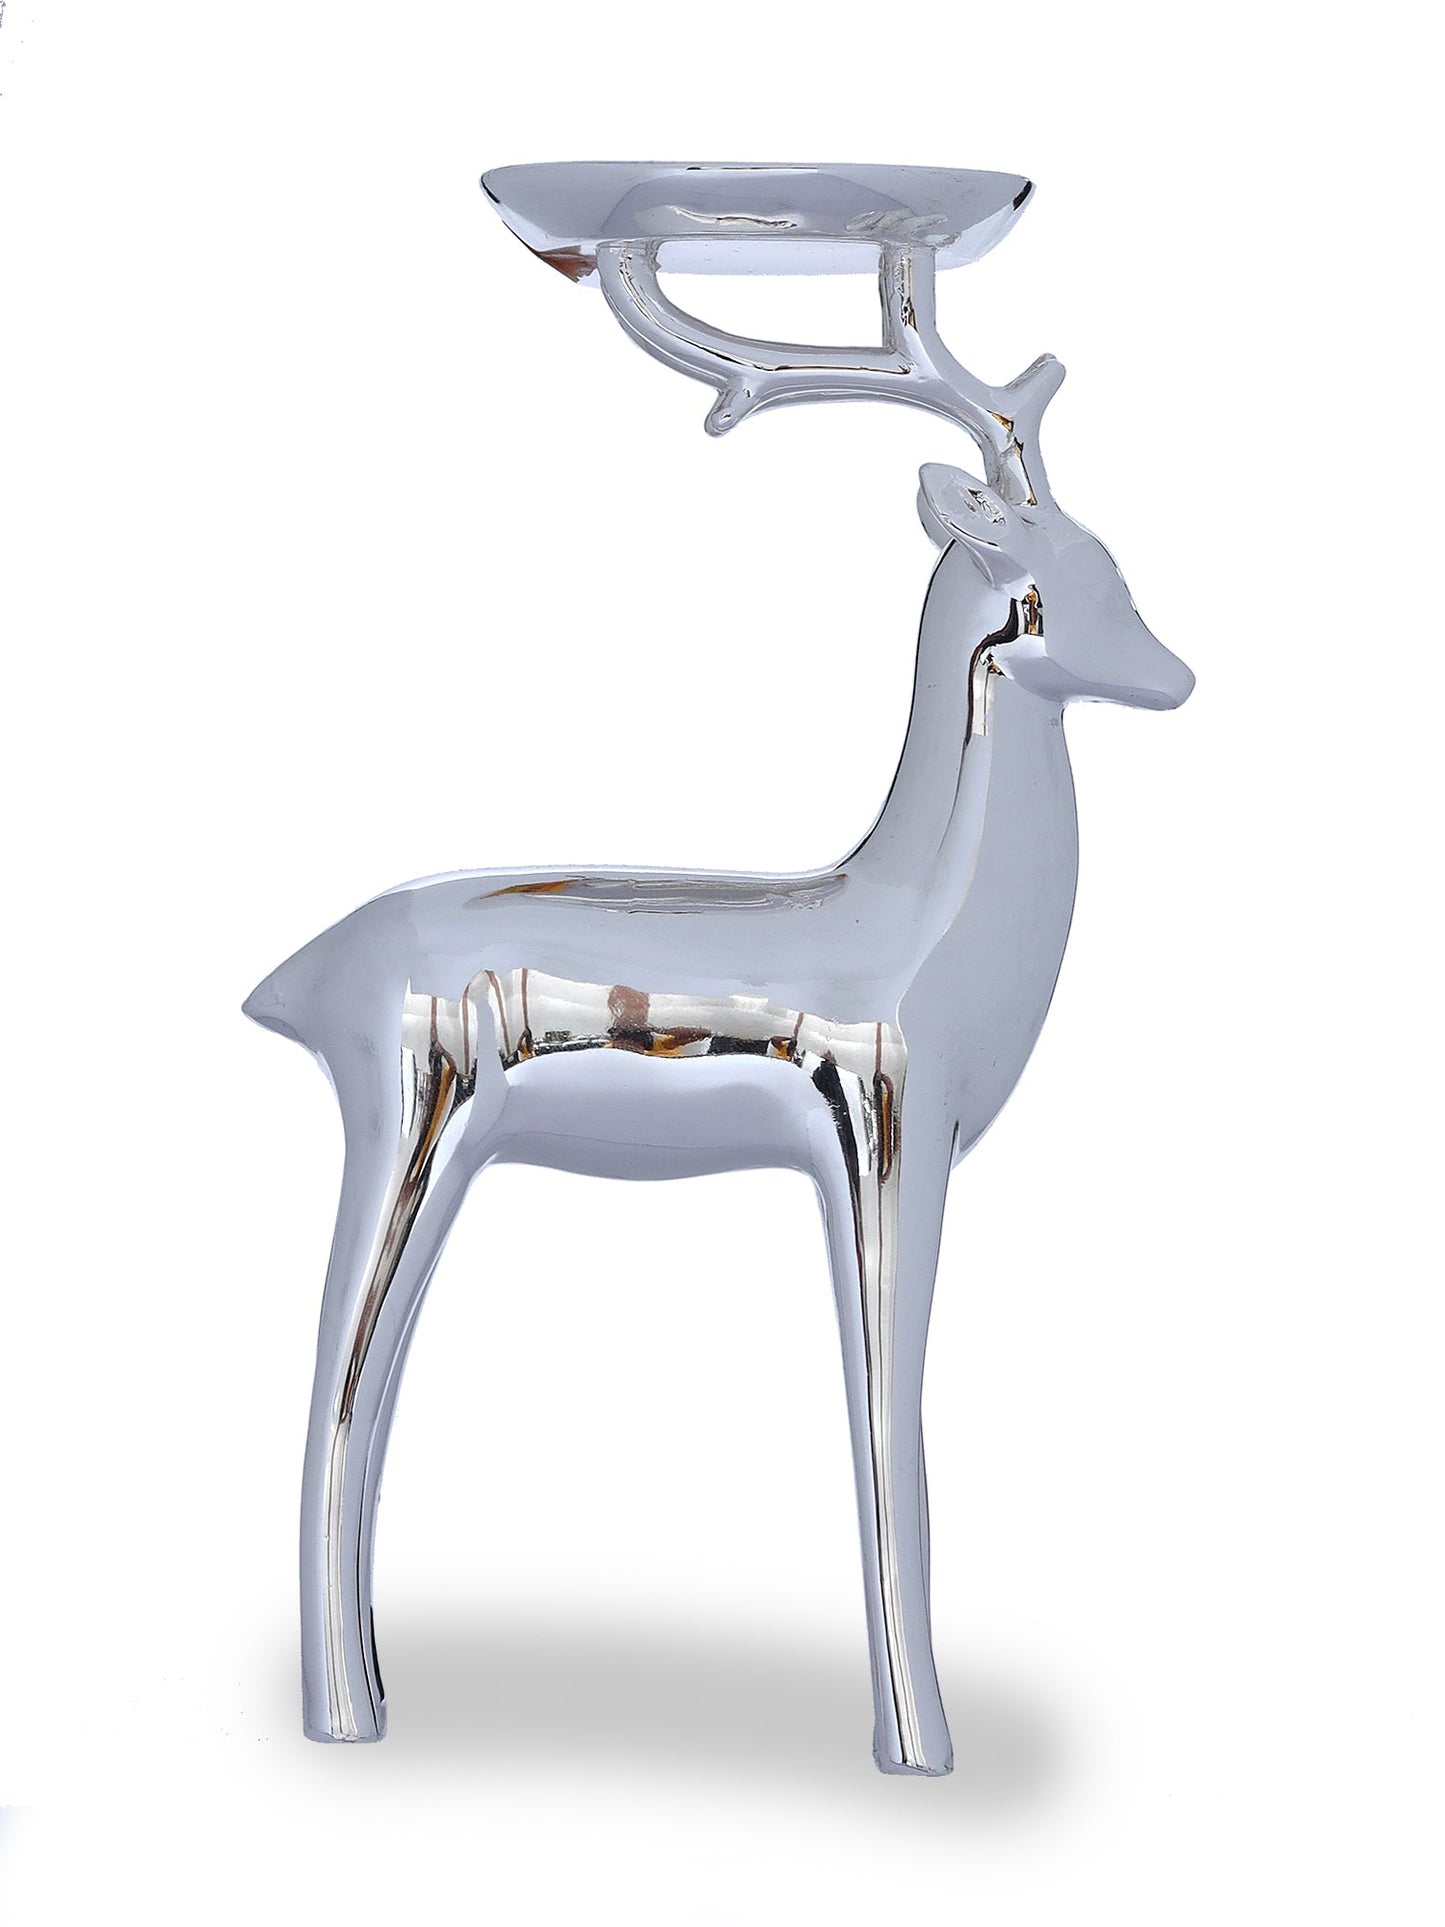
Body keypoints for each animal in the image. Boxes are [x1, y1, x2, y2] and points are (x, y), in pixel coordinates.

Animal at [244, 237, 1194, 1775]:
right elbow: (889, 1418)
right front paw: (918, 1748)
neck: (919, 916)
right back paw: (346, 1721)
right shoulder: (885, 1129)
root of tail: (304, 964)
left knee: (360, 1399)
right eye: (1085, 569)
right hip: (410, 1122)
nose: (1178, 675)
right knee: (336, 1385)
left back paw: (369, 1701)